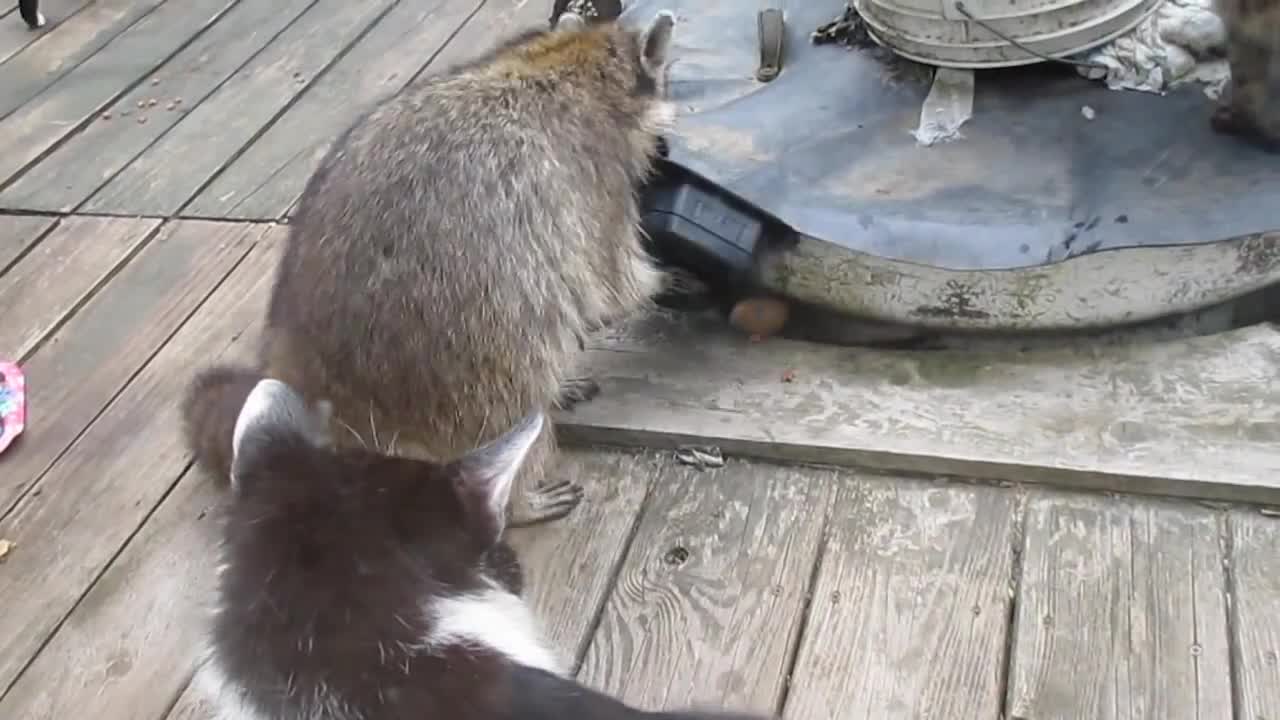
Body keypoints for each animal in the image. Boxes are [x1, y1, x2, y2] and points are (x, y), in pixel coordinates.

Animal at [241, 9, 680, 527]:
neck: (562, 61)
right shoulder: (595, 178)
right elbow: (614, 278)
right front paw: (667, 281)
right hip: (470, 351)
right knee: (512, 409)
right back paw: (518, 498)